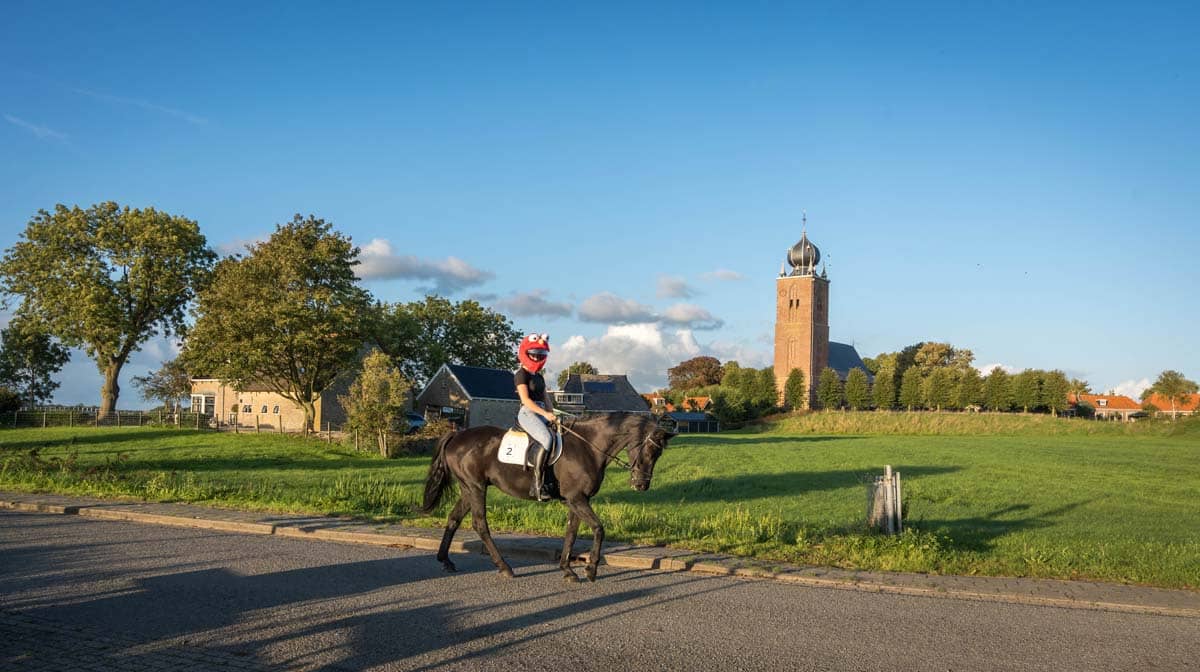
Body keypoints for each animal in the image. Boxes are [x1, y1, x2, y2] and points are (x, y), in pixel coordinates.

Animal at [420, 412, 676, 580]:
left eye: (659, 454)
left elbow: (571, 532)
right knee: (479, 524)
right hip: (476, 487)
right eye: (649, 450)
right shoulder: (576, 498)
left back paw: (446, 560)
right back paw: (505, 567)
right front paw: (591, 569)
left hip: (468, 488)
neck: (588, 447)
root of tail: (456, 436)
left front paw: (567, 569)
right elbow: (598, 528)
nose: (641, 485)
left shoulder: (577, 499)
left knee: (454, 519)